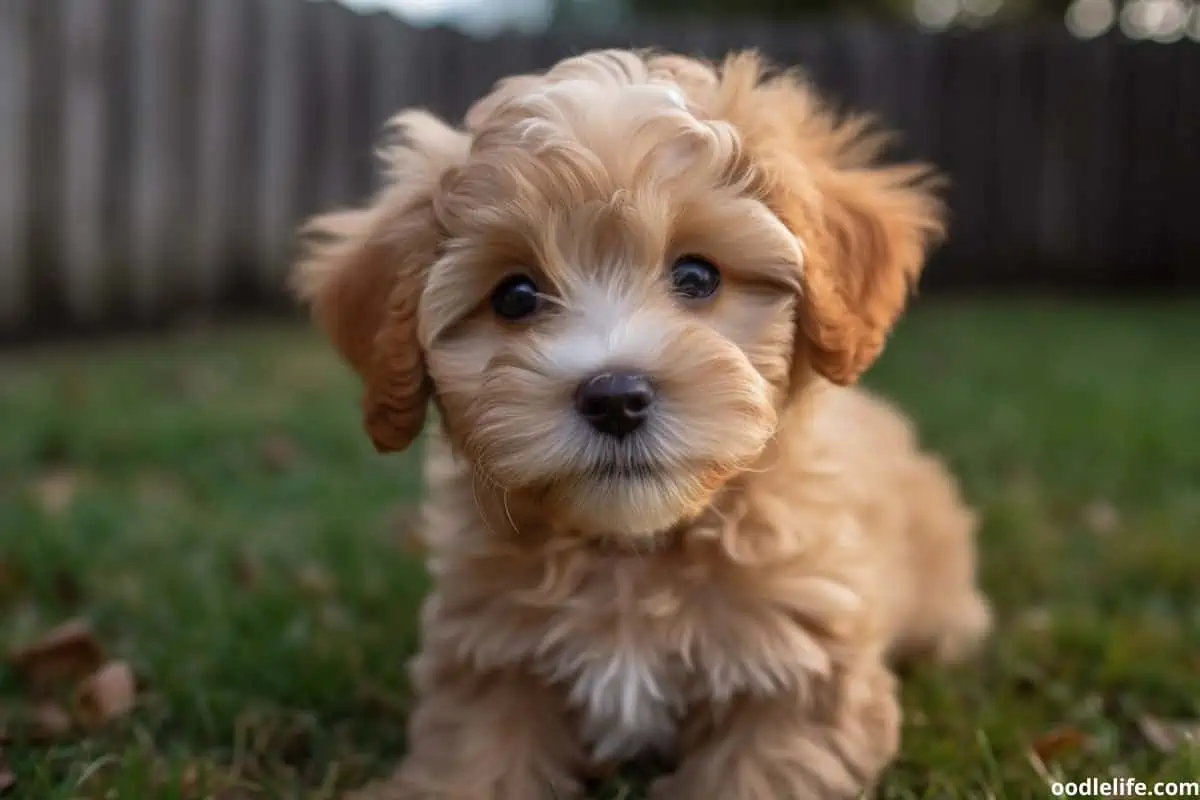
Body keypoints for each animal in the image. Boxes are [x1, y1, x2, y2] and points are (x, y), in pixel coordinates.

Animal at [295, 50, 988, 800]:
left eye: (698, 276)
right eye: (515, 296)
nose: (615, 397)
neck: (632, 551)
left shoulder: (800, 675)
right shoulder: (490, 661)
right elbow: (474, 762)